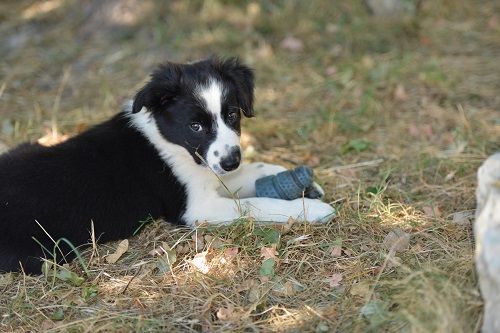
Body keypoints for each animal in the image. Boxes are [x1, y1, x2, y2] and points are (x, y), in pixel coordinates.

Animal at [0, 58, 336, 274]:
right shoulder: (197, 207)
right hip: (46, 252)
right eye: (196, 126)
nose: (231, 161)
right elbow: (254, 205)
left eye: (231, 115)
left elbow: (256, 170)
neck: (173, 144)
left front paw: (302, 184)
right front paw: (311, 210)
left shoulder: (212, 172)